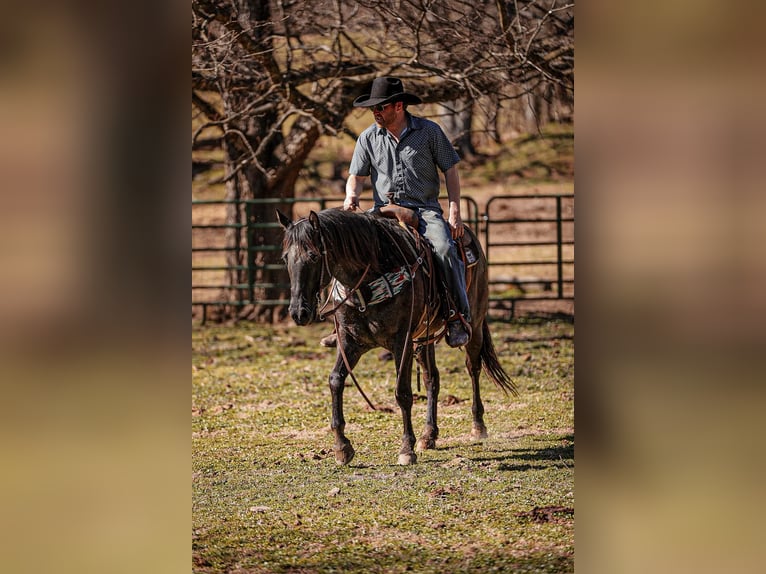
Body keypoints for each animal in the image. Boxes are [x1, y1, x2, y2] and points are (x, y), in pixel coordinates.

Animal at [278, 208, 516, 465]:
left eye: (313, 256)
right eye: (285, 258)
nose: (299, 312)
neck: (368, 280)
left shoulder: (401, 342)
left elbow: (402, 392)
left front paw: (406, 448)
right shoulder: (351, 342)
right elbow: (336, 381)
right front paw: (342, 447)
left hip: (475, 325)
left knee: (473, 368)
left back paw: (478, 426)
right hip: (423, 339)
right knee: (432, 378)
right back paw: (428, 435)